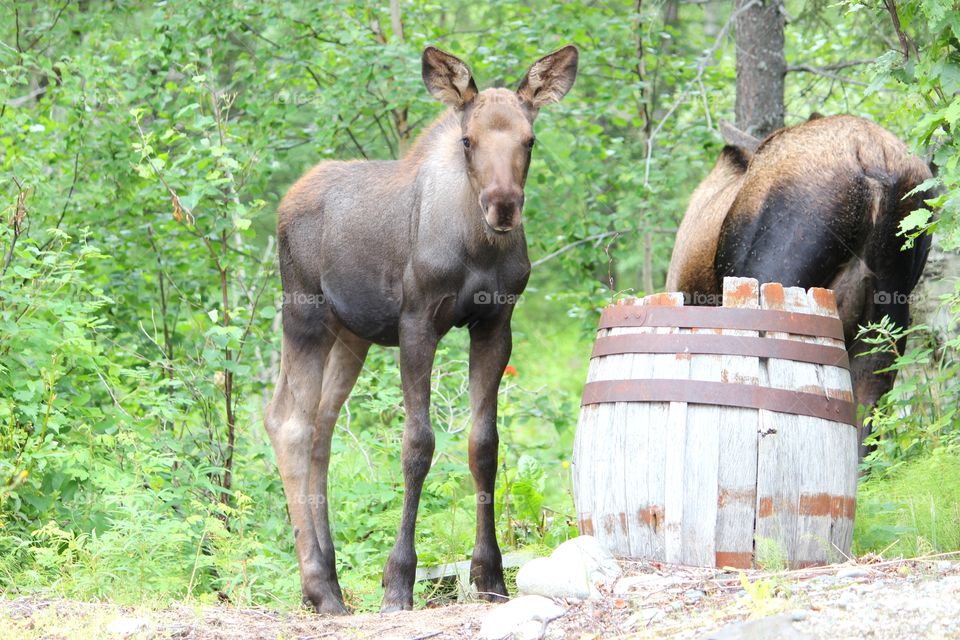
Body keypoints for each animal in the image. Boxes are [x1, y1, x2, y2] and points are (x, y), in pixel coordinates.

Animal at [265, 45, 578, 614]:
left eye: (529, 139)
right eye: (467, 140)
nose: (503, 205)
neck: (476, 246)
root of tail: (287, 199)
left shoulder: (496, 323)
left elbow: (484, 445)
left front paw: (489, 574)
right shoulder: (417, 323)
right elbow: (418, 445)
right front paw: (398, 581)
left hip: (351, 335)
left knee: (321, 426)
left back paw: (329, 580)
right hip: (304, 314)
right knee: (288, 422)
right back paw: (319, 586)